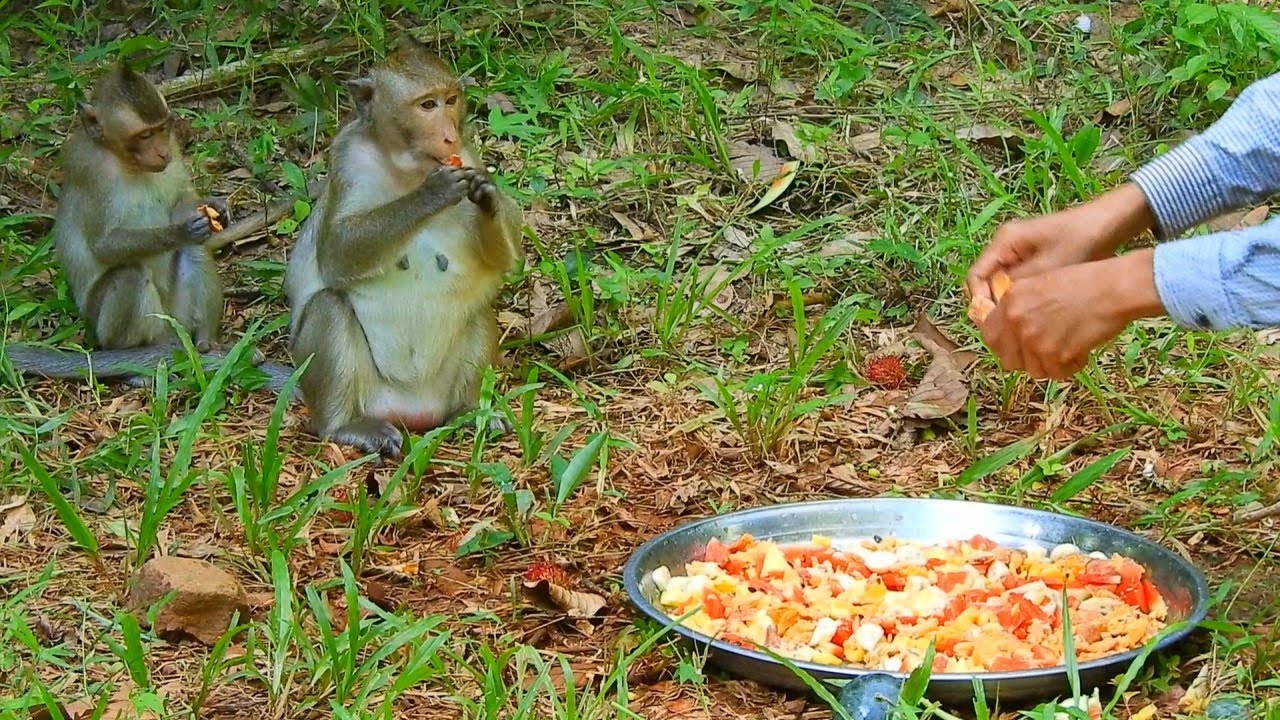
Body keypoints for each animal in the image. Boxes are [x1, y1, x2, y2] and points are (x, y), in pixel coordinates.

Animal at [6, 63, 294, 392]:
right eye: (144, 135)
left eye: (161, 129)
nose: (161, 153)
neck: (126, 161)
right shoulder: (88, 169)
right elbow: (104, 245)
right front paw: (180, 231)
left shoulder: (174, 148)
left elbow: (182, 196)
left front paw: (215, 207)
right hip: (118, 329)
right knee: (130, 274)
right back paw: (133, 362)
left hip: (176, 318)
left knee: (194, 254)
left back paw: (207, 344)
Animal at [284, 36, 523, 458]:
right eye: (427, 105)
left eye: (451, 100)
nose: (449, 136)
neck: (407, 167)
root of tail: (412, 412)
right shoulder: (347, 156)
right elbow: (337, 252)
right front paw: (433, 193)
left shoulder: (469, 154)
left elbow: (507, 260)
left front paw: (489, 193)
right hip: (366, 393)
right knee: (329, 306)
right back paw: (344, 426)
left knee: (478, 313)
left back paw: (468, 412)